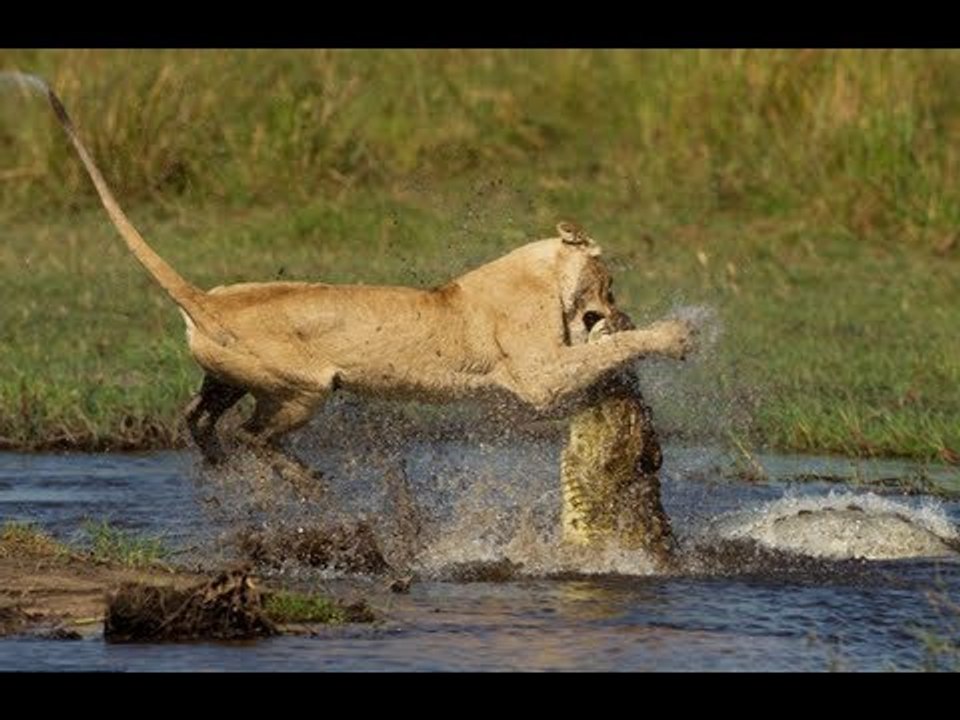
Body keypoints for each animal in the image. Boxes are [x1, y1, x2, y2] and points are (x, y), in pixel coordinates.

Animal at [22, 76, 696, 480]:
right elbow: (604, 353)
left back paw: (217, 462)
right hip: (304, 388)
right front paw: (674, 336)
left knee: (198, 414)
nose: (614, 306)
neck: (541, 270)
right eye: (609, 281)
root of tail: (203, 297)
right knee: (253, 435)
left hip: (229, 374)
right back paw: (303, 480)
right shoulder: (537, 379)